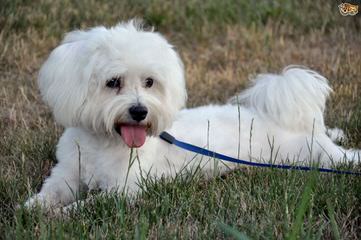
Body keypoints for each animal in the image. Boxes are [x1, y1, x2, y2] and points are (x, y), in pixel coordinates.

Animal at [24, 20, 358, 208]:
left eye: (150, 82)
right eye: (113, 82)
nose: (139, 111)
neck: (104, 144)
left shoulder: (124, 190)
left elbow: (85, 206)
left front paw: (62, 214)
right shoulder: (67, 173)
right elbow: (50, 192)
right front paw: (34, 208)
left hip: (316, 156)